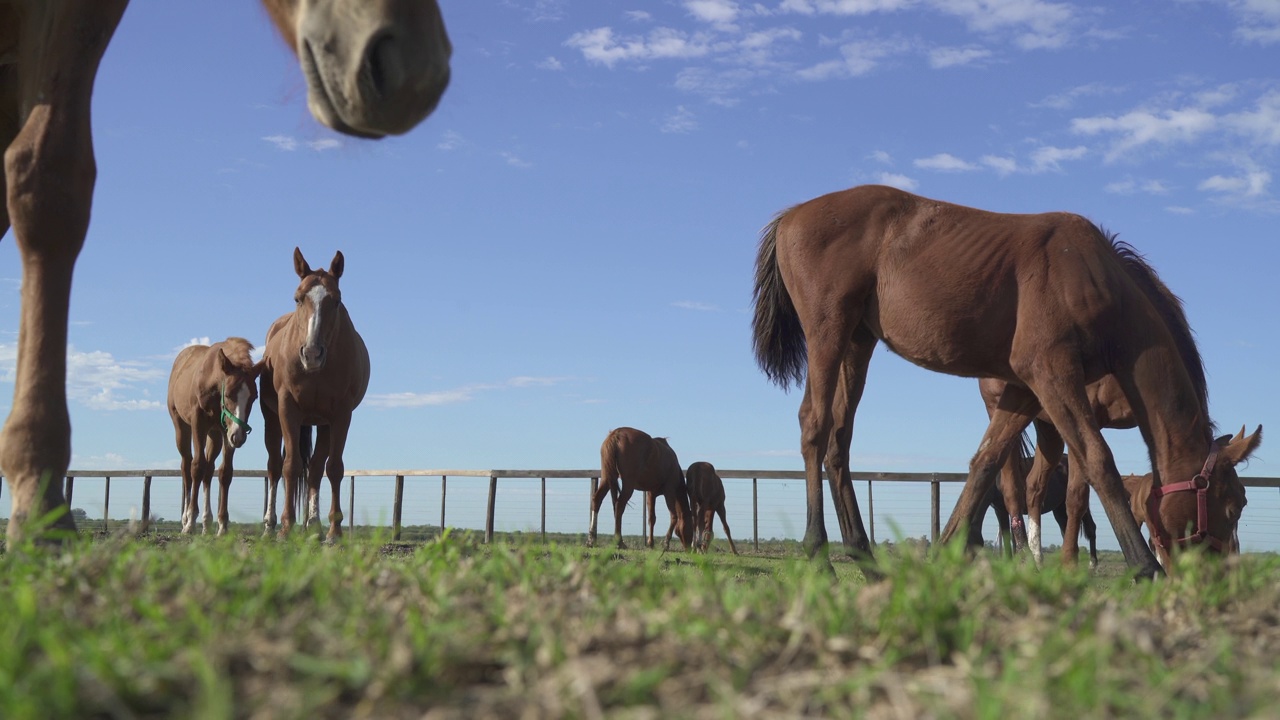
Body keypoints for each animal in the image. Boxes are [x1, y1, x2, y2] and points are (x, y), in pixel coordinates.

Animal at [166, 335, 263, 532]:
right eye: (230, 395)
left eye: (254, 397)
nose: (239, 436)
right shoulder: (199, 424)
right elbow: (197, 467)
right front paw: (190, 521)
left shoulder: (226, 432)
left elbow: (225, 472)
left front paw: (222, 525)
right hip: (182, 427)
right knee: (187, 466)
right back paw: (185, 519)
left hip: (215, 435)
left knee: (209, 469)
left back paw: (207, 522)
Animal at [259, 249, 371, 535]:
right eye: (298, 298)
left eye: (336, 300)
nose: (311, 353)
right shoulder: (288, 410)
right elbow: (291, 465)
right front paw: (286, 526)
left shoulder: (340, 415)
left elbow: (333, 468)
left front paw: (334, 530)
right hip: (272, 418)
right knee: (274, 466)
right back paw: (270, 525)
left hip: (322, 423)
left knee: (317, 468)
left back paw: (315, 524)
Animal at [747, 184, 1259, 576]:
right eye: (1230, 505)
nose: (1216, 579)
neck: (1093, 277)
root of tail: (792, 215)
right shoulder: (1051, 373)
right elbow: (1097, 461)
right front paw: (1143, 567)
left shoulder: (1025, 389)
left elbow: (985, 463)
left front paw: (947, 550)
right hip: (828, 333)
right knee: (814, 425)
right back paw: (819, 556)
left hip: (858, 342)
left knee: (839, 437)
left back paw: (864, 555)